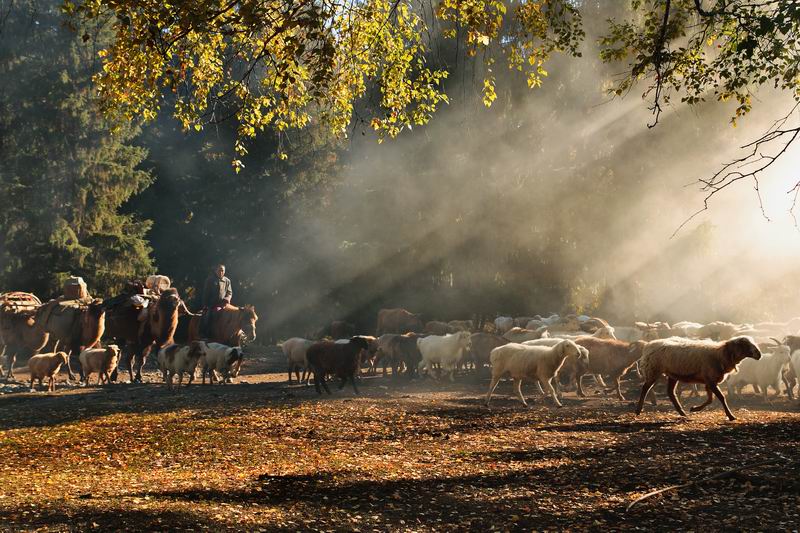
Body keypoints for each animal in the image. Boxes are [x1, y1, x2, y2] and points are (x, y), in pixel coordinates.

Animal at [636, 336, 764, 420]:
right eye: (745, 345)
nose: (759, 354)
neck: (720, 355)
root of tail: (648, 345)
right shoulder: (711, 380)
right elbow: (721, 397)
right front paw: (731, 416)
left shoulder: (709, 381)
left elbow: (710, 399)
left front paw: (694, 408)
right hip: (653, 370)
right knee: (645, 388)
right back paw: (638, 410)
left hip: (673, 374)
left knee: (671, 392)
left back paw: (682, 413)